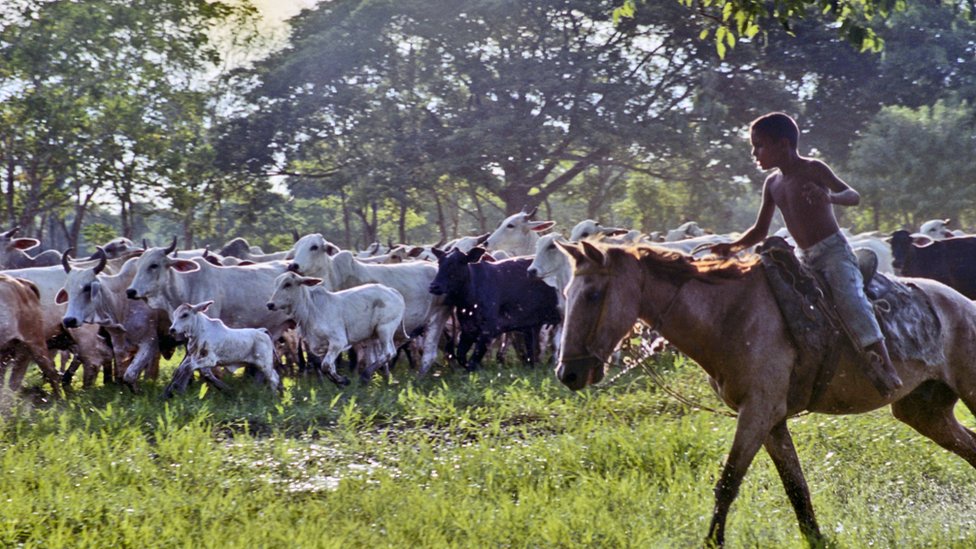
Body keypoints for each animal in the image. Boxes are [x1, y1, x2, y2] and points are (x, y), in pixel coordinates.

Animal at [555, 240, 976, 547]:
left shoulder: (758, 411)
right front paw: (814, 538)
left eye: (593, 294)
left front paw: (713, 541)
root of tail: (964, 304)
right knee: (969, 446)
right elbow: (796, 487)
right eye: (567, 292)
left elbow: (728, 483)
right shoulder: (771, 421)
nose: (568, 373)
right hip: (923, 412)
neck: (730, 314)